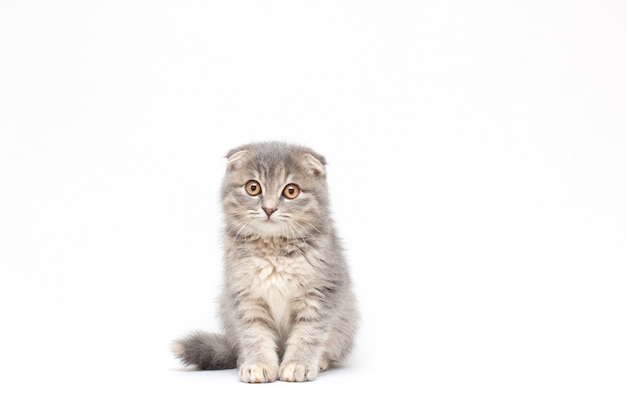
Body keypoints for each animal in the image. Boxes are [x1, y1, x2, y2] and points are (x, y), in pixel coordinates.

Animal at [172, 141, 356, 382]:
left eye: (291, 191)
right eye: (253, 188)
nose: (269, 209)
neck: (273, 251)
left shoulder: (320, 293)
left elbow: (308, 334)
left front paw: (298, 364)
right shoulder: (246, 296)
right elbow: (254, 334)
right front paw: (258, 364)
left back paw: (322, 361)